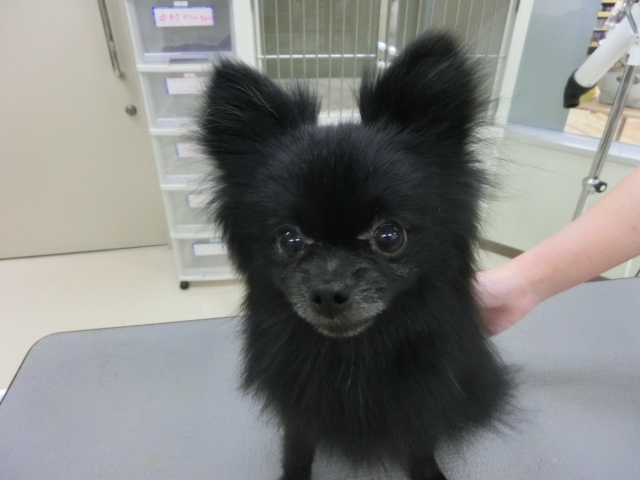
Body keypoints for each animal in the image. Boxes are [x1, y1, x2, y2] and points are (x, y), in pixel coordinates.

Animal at [198, 32, 511, 480]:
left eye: (389, 236)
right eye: (289, 241)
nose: (329, 292)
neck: (353, 357)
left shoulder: (422, 395)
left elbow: (419, 438)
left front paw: (427, 471)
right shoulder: (297, 404)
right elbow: (298, 442)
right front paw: (294, 473)